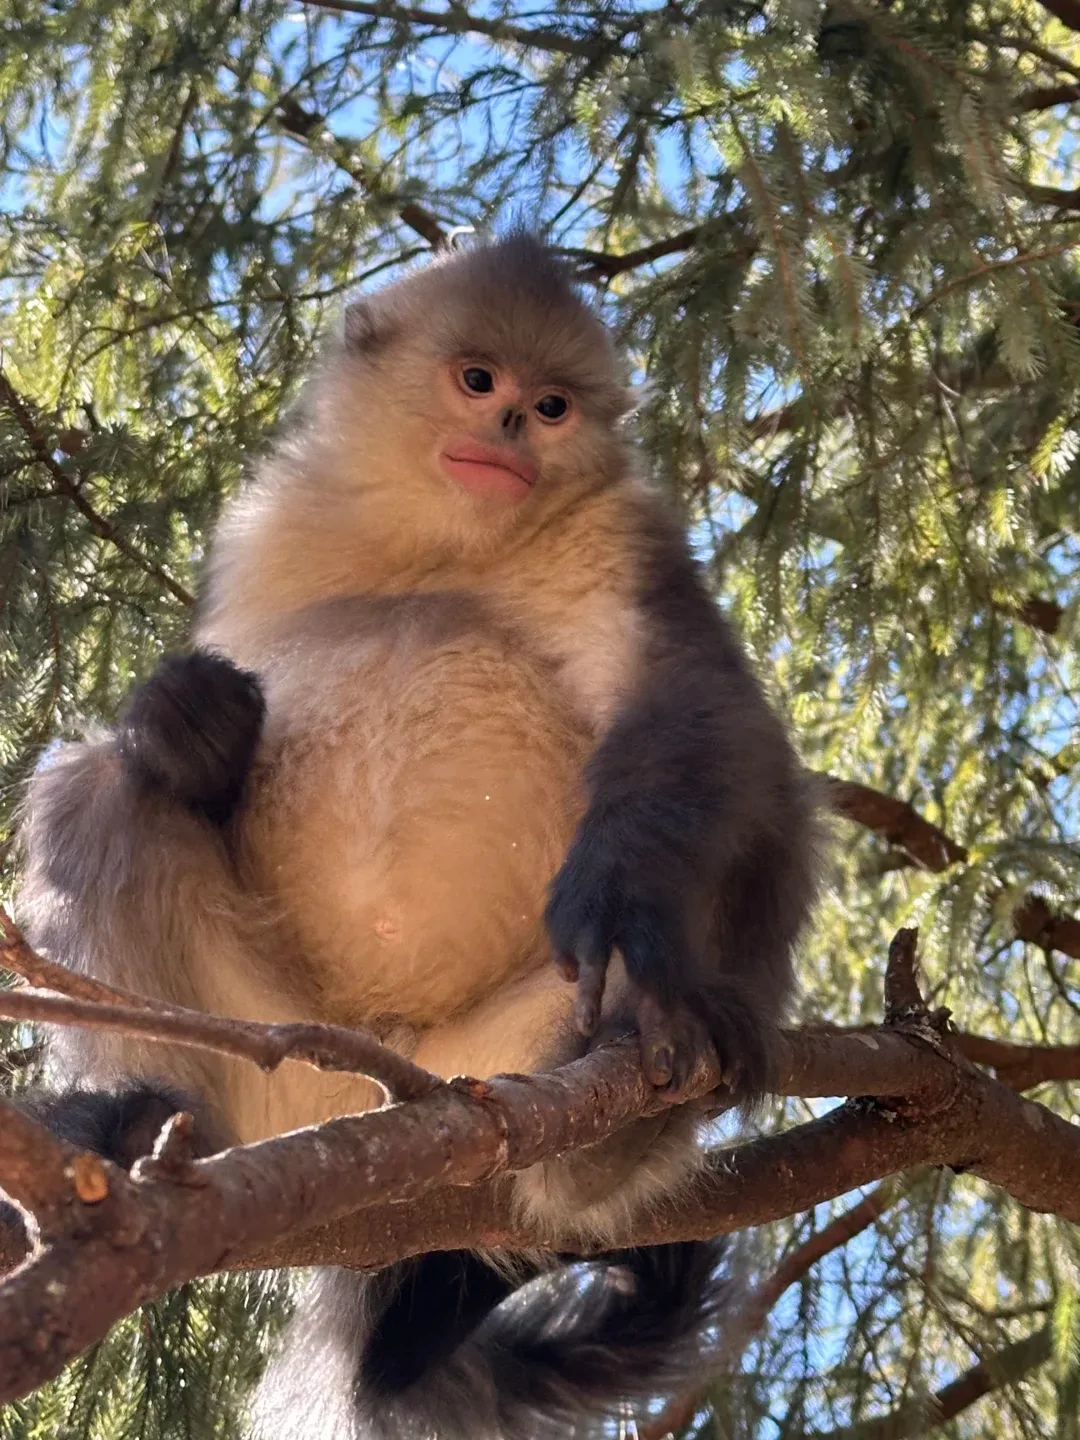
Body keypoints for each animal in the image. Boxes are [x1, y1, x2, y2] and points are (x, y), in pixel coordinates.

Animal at [15, 232, 820, 1440]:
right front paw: (187, 725)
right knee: (99, 786)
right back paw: (137, 1114)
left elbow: (694, 718)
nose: (510, 427)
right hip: (267, 1049)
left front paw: (623, 909)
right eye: (477, 380)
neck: (443, 549)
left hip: (499, 1061)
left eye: (551, 404)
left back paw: (630, 1087)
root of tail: (388, 1101)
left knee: (750, 817)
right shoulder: (269, 533)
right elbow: (189, 753)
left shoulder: (626, 543)